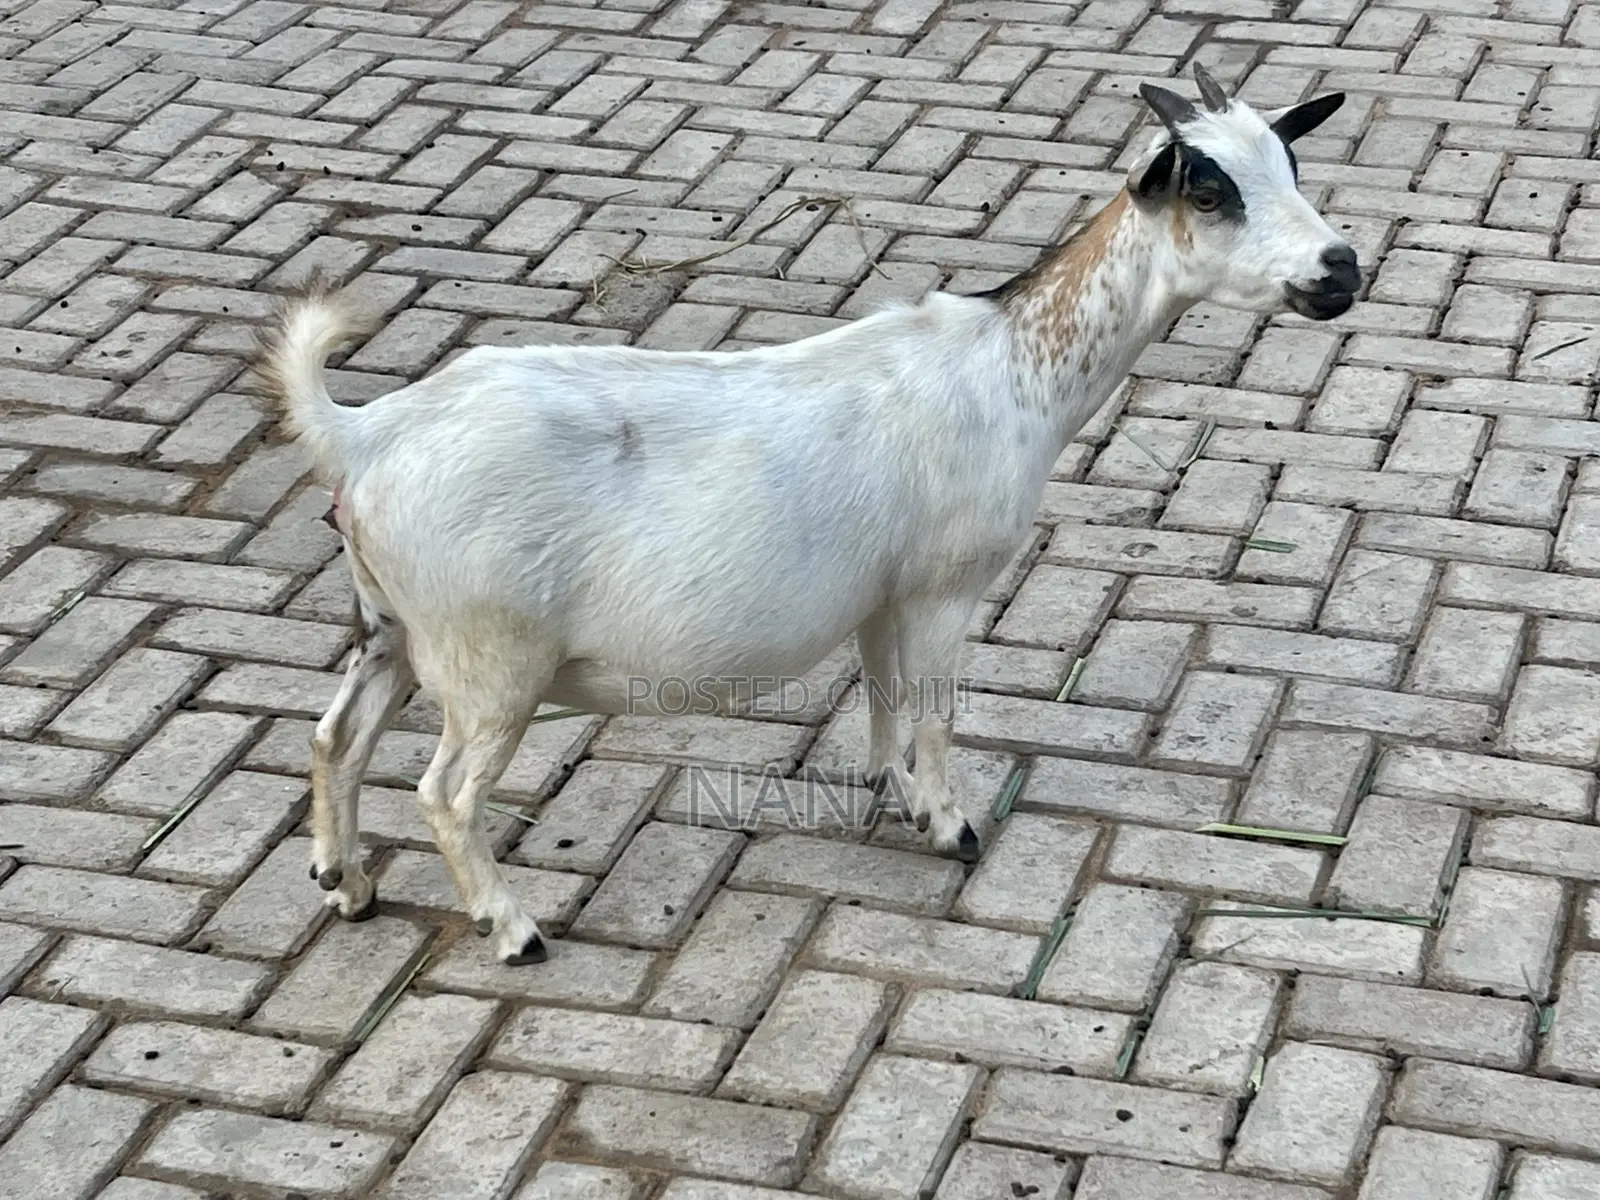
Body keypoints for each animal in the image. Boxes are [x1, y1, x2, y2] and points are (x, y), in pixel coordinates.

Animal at [261, 64, 1360, 966]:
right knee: (444, 793)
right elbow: (934, 708)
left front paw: (890, 793)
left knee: (334, 739)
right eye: (1209, 189)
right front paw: (952, 826)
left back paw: (343, 882)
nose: (1340, 269)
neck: (1010, 369)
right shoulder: (944, 584)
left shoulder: (885, 593)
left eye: (1289, 160)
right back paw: (511, 927)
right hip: (490, 656)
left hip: (392, 626)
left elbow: (882, 697)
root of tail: (364, 433)